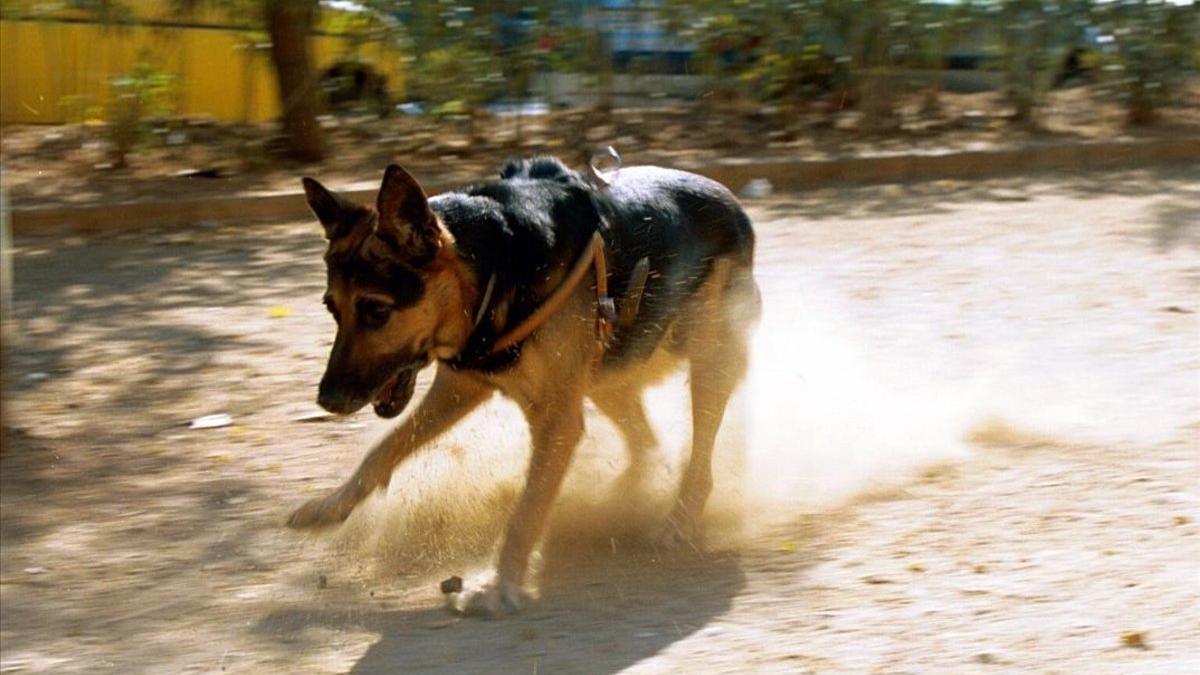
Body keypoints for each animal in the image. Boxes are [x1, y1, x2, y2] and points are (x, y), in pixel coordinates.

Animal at [290, 157, 758, 614]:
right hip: (605, 376)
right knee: (648, 443)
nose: (327, 400)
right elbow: (385, 448)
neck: (492, 266)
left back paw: (678, 520)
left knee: (700, 462)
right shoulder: (462, 387)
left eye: (376, 311)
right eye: (332, 309)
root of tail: (733, 204)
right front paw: (333, 506)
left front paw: (498, 585)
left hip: (706, 364)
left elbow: (526, 511)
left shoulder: (556, 420)